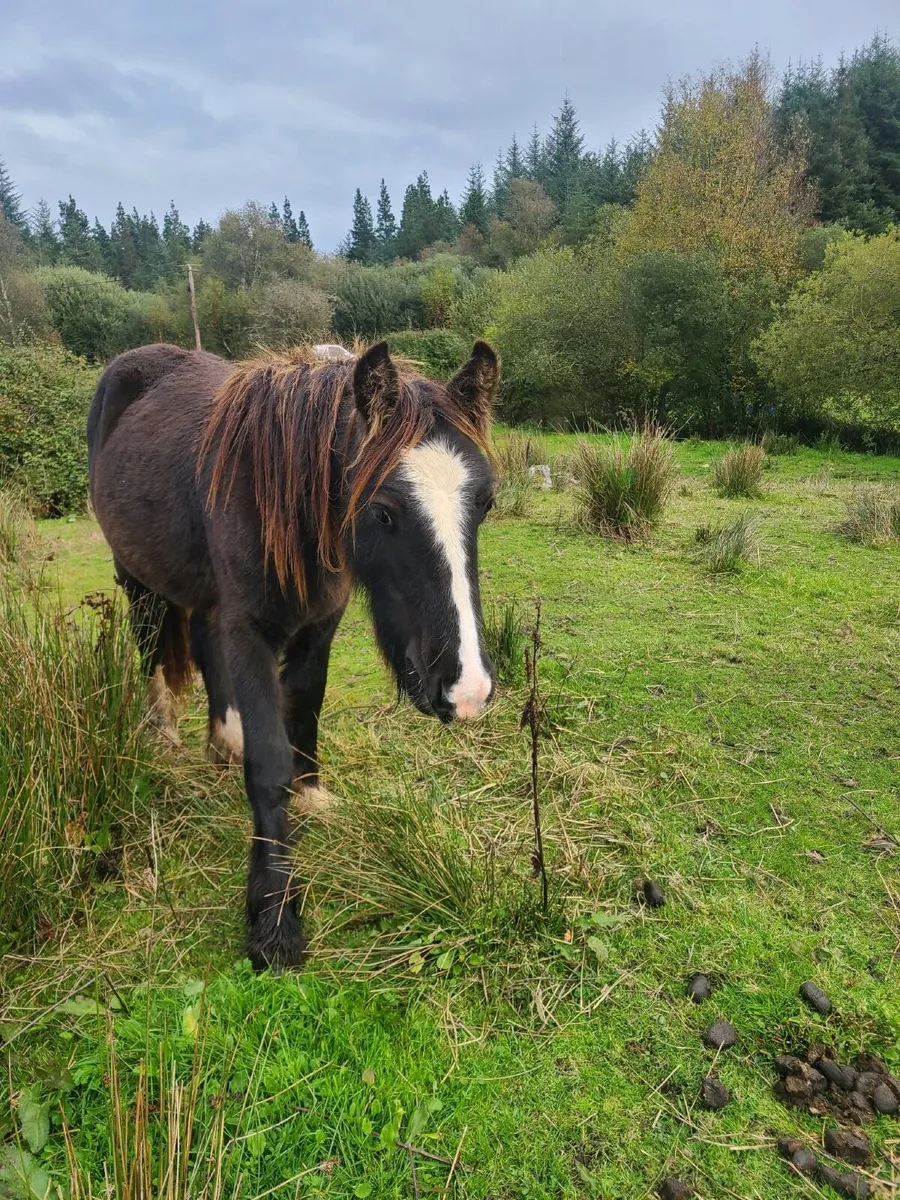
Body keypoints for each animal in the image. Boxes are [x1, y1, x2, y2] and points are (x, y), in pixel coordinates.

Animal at [87, 339, 499, 970]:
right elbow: (268, 763)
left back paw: (222, 740)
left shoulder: (320, 622)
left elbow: (304, 705)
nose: (467, 688)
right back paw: (163, 732)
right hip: (136, 576)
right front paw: (274, 918)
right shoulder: (249, 630)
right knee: (151, 645)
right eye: (384, 510)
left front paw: (311, 794)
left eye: (485, 505)